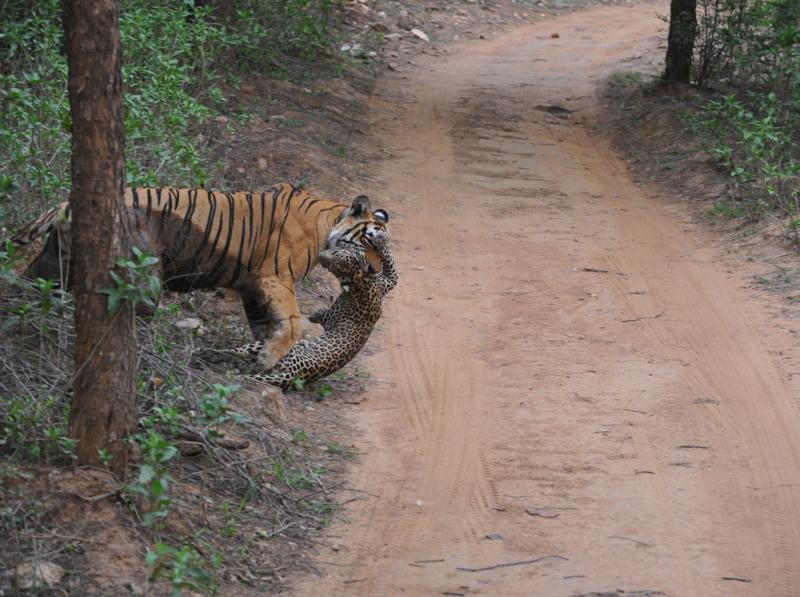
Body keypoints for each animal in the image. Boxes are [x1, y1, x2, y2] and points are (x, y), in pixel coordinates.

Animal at [10, 182, 390, 368]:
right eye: (368, 242)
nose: (374, 271)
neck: (327, 224)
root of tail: (65, 205)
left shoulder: (252, 288)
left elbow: (264, 327)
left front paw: (258, 358)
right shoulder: (275, 278)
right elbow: (294, 323)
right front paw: (269, 359)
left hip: (53, 265)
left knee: (26, 289)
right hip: (143, 275)